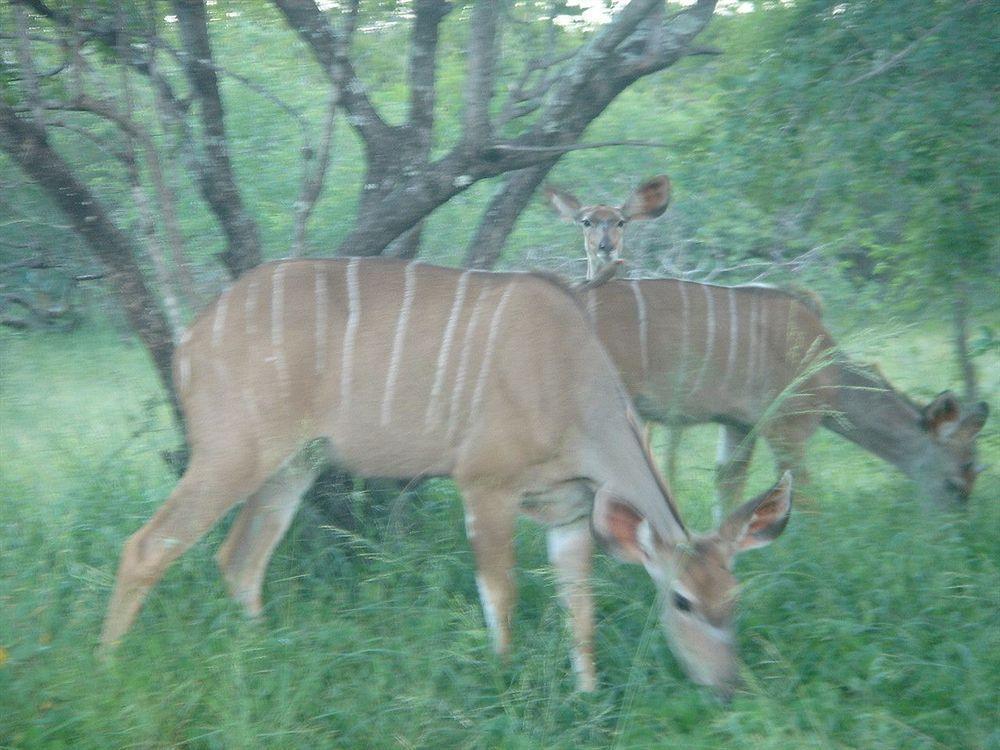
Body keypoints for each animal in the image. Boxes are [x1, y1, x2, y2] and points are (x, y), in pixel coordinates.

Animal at [103, 260, 796, 700]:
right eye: (681, 601)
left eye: (734, 599)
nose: (729, 689)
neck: (572, 378)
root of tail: (189, 341)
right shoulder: (484, 485)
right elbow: (502, 596)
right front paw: (505, 686)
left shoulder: (570, 510)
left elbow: (580, 609)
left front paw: (588, 696)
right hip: (231, 453)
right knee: (146, 547)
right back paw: (107, 668)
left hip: (294, 464)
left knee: (241, 558)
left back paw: (263, 657)